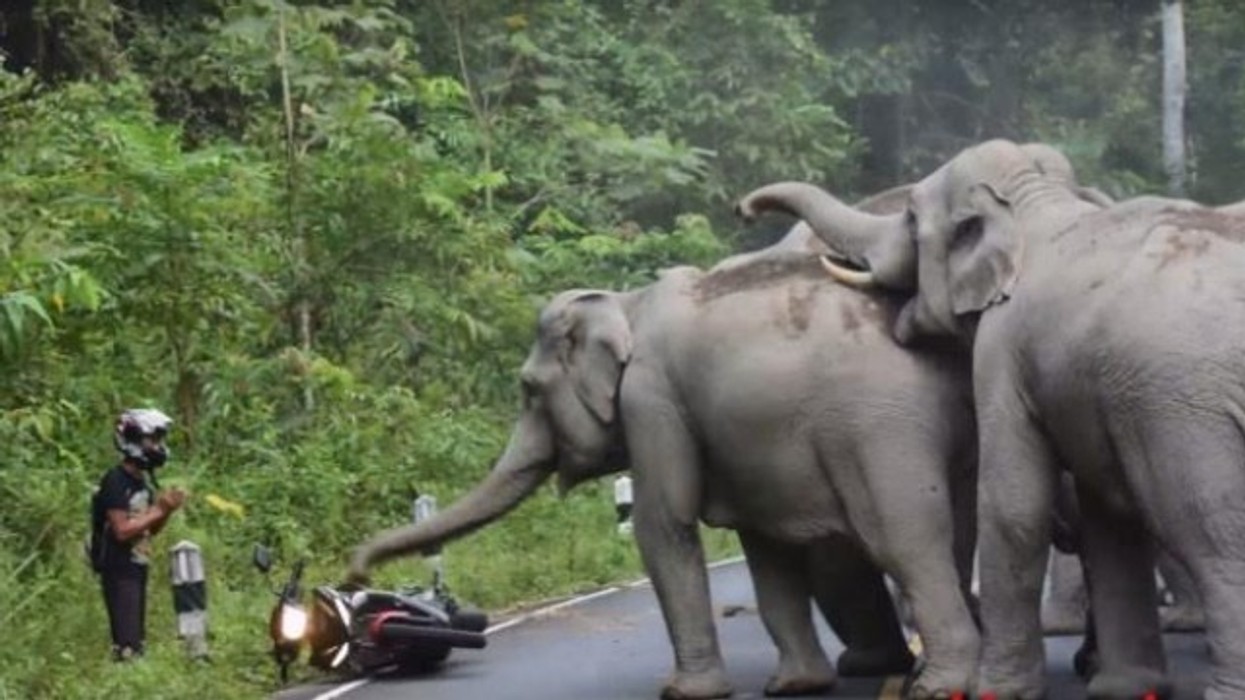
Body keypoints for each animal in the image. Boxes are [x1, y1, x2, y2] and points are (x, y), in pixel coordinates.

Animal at [346, 209, 982, 699]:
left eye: (527, 389)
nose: (355, 573)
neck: (625, 304)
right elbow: (765, 548)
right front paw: (794, 686)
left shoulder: (651, 401)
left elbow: (662, 524)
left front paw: (683, 691)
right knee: (956, 528)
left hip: (877, 427)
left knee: (903, 537)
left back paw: (938, 681)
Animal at [736, 137, 1245, 700]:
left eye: (910, 219)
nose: (743, 208)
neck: (1033, 203)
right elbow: (1106, 521)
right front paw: (1120, 689)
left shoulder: (1002, 350)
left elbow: (1011, 504)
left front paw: (995, 690)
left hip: (1183, 411)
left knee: (1211, 533)